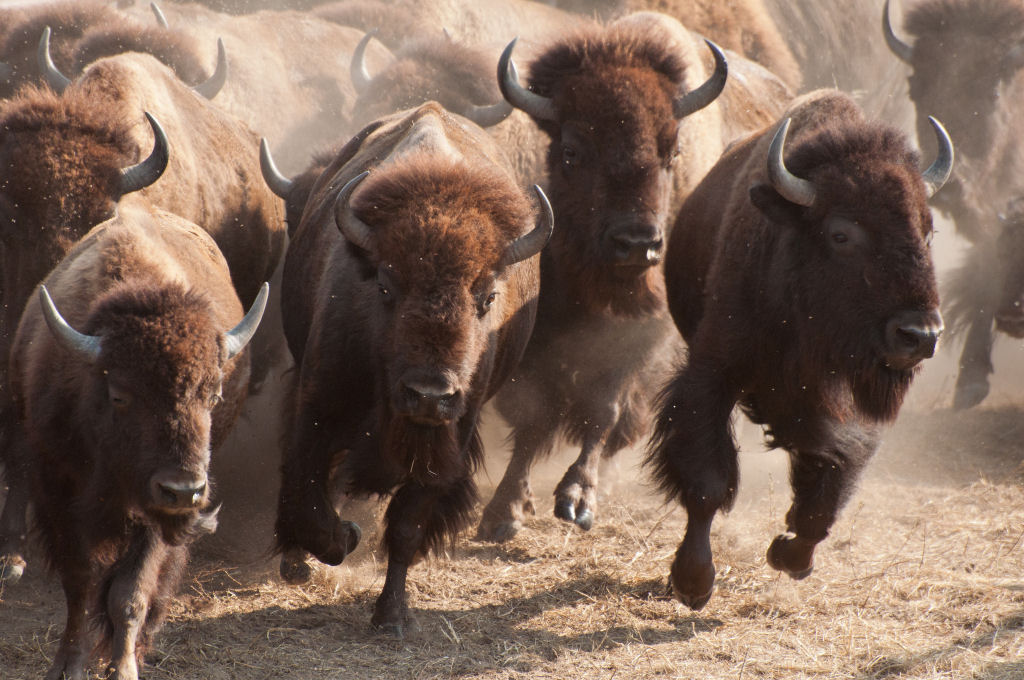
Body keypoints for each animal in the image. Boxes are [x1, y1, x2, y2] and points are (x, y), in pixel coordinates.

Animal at [275, 101, 551, 636]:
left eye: (488, 297)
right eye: (385, 286)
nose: (429, 394)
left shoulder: (450, 438)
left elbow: (407, 527)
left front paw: (392, 617)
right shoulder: (316, 408)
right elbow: (309, 501)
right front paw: (341, 537)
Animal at [648, 89, 952, 610]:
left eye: (927, 229)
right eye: (841, 233)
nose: (921, 334)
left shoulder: (838, 396)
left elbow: (834, 470)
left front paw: (790, 555)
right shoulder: (713, 373)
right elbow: (707, 480)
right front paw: (693, 581)